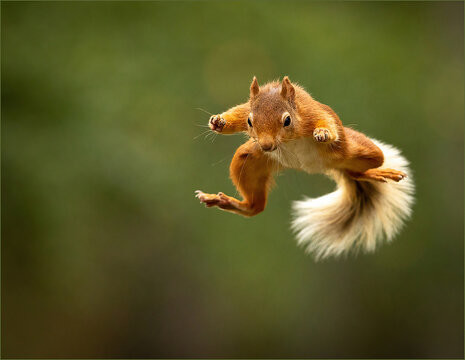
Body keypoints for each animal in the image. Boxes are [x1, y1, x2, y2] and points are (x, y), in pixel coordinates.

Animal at [195, 76, 414, 258]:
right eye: (250, 121)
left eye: (287, 120)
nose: (266, 145)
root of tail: (326, 167)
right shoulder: (247, 109)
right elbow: (237, 112)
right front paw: (219, 121)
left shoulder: (311, 112)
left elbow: (325, 122)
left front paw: (323, 133)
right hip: (248, 161)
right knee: (255, 207)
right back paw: (222, 201)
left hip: (359, 151)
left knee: (360, 168)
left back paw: (381, 172)